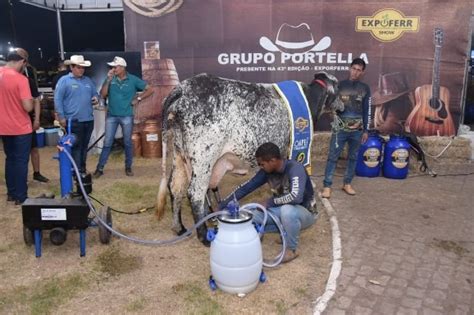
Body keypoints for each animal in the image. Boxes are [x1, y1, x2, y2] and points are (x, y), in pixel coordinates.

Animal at [157, 73, 342, 246]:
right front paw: (310, 207)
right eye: (339, 89)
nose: (342, 106)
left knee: (175, 187)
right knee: (195, 192)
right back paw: (204, 236)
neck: (309, 97)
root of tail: (183, 88)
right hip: (204, 156)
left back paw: (180, 228)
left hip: (180, 154)